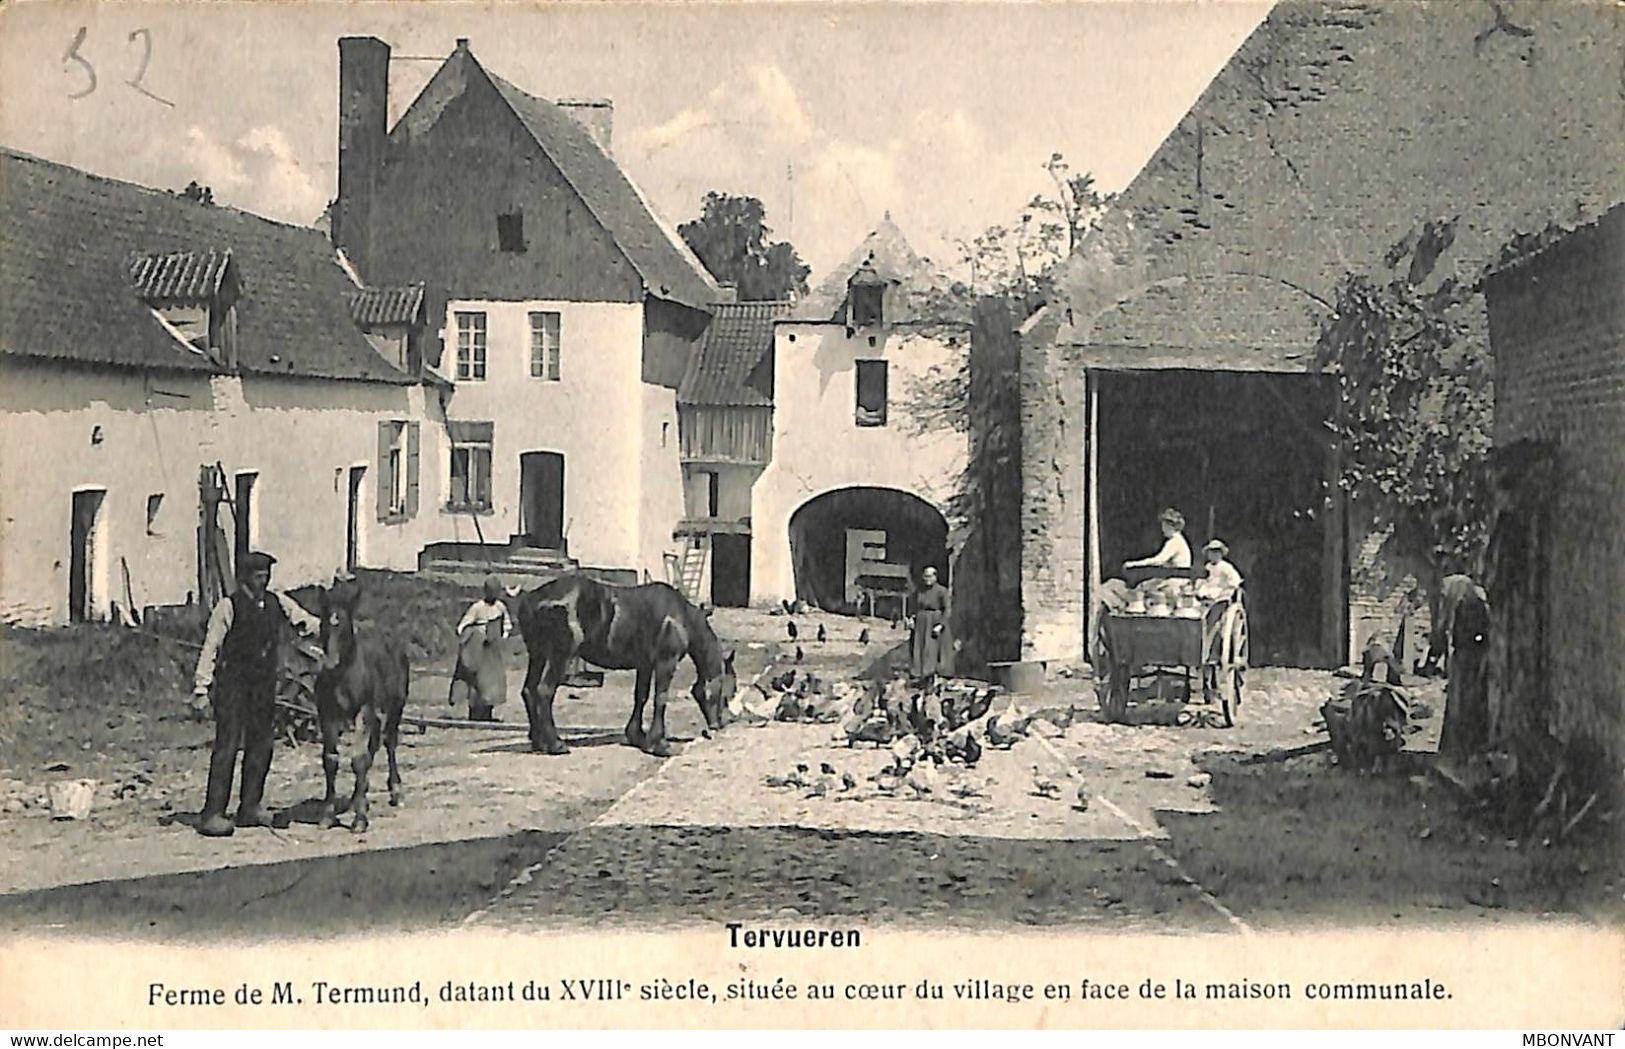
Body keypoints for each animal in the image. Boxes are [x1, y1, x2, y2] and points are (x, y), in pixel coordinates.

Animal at [312, 578, 409, 831]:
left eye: (345, 626)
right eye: (323, 623)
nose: (330, 661)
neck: (342, 676)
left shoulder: (362, 712)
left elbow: (358, 760)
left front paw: (360, 819)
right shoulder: (327, 714)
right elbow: (331, 760)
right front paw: (328, 814)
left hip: (395, 706)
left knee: (388, 742)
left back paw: (396, 791)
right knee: (374, 745)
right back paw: (362, 792)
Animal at [513, 574, 737, 756]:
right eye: (730, 690)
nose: (722, 723)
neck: (680, 617)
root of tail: (532, 598)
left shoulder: (645, 665)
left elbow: (641, 697)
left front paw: (637, 735)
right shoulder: (666, 662)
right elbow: (660, 698)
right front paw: (659, 743)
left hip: (538, 655)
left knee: (529, 690)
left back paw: (539, 741)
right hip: (560, 655)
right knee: (544, 691)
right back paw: (555, 743)